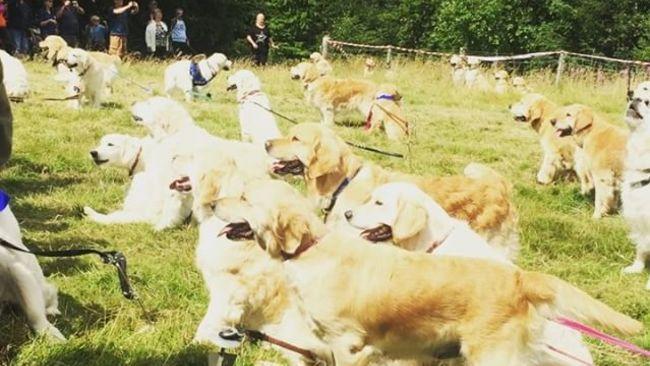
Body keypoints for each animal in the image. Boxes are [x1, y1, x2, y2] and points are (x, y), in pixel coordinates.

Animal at [0, 196, 64, 342]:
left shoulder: (18, 269)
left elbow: (34, 312)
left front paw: (50, 333)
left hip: (42, 286)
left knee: (52, 292)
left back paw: (52, 310)